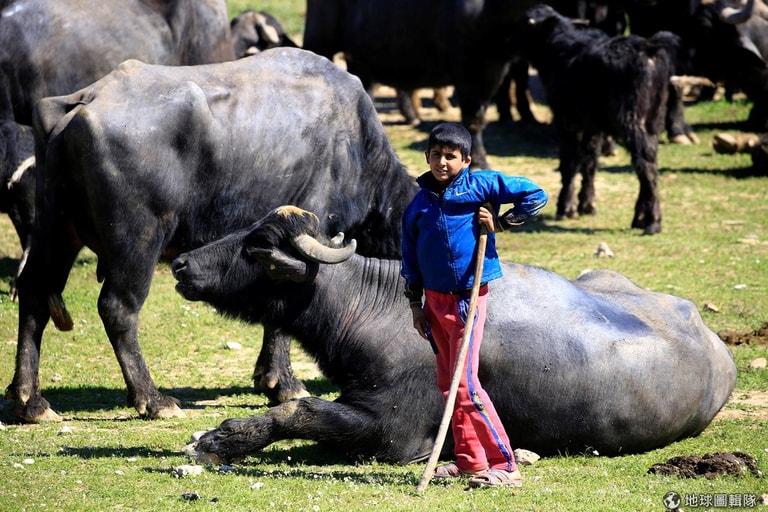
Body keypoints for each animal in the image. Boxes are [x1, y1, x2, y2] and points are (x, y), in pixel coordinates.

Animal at [176, 205, 736, 464]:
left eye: (257, 246)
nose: (181, 263)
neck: (372, 306)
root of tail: (717, 346)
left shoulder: (393, 434)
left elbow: (300, 411)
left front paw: (220, 439)